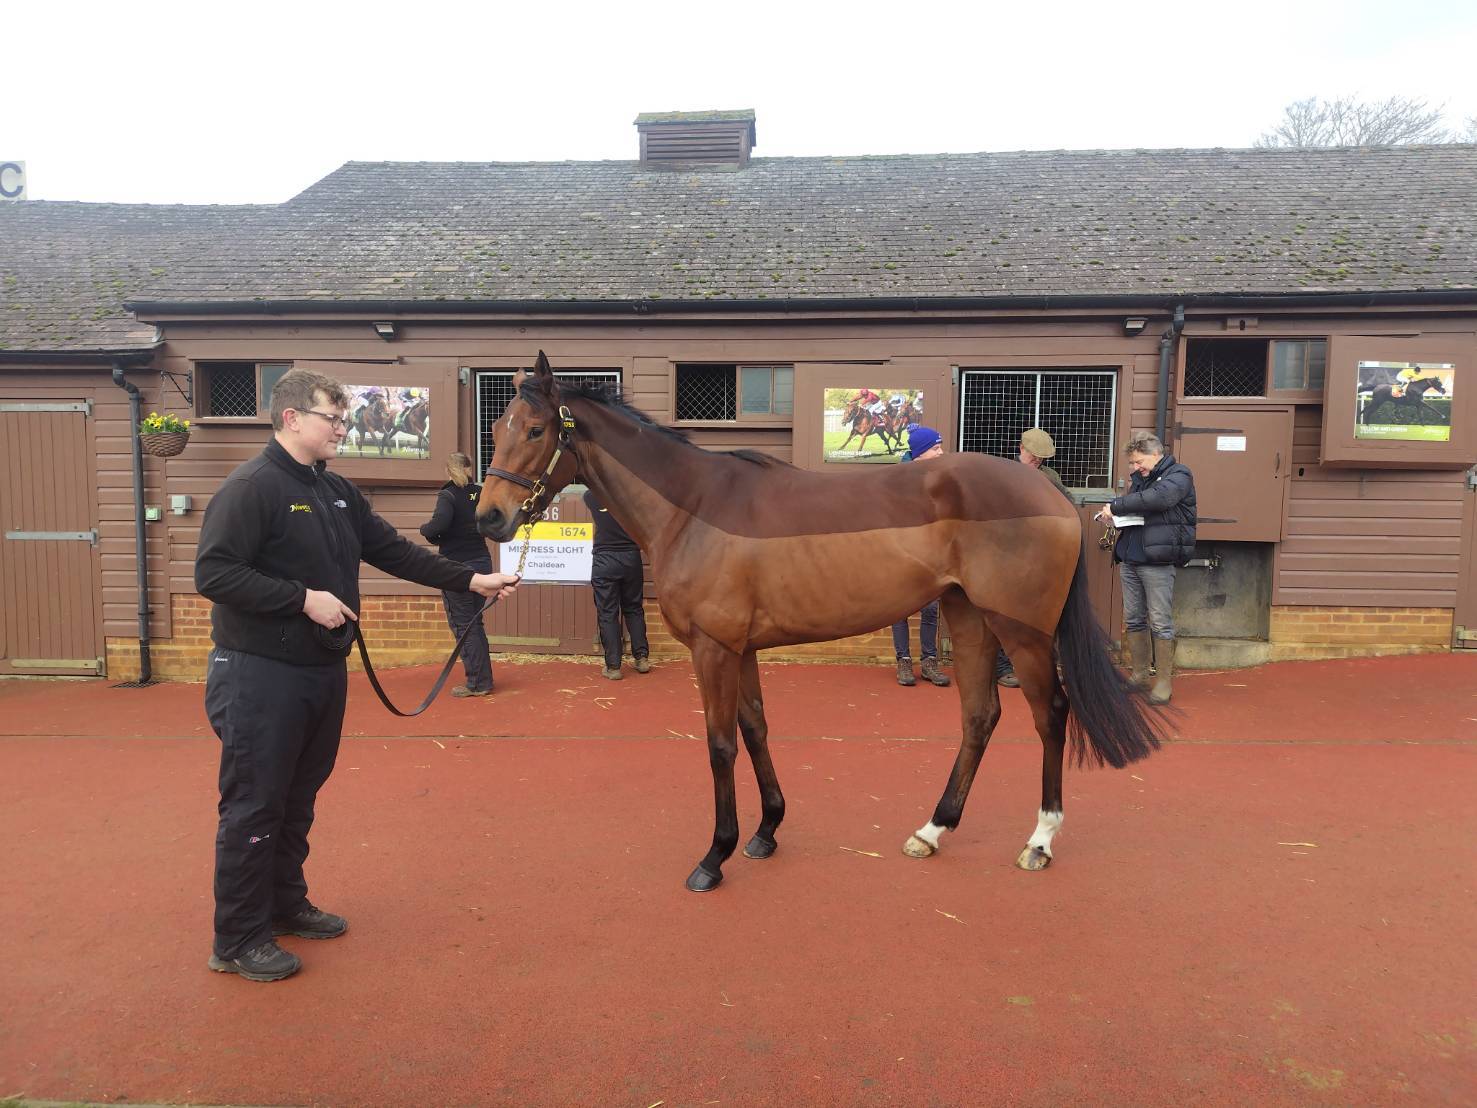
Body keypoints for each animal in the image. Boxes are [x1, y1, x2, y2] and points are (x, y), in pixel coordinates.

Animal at [481, 353, 1163, 892]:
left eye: (536, 429)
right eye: (495, 426)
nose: (490, 517)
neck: (693, 507)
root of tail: (1053, 497)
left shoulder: (714, 648)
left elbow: (720, 744)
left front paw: (716, 855)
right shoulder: (741, 648)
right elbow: (756, 730)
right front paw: (766, 830)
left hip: (1021, 630)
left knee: (1051, 715)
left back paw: (1039, 841)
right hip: (966, 617)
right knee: (980, 716)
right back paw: (932, 829)